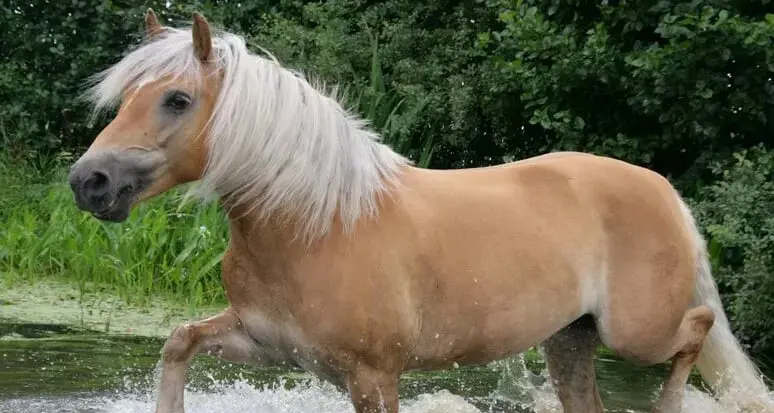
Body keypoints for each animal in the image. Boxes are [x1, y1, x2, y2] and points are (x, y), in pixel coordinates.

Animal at [67, 9, 773, 413]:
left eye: (178, 99)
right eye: (126, 95)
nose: (89, 183)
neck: (315, 224)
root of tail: (664, 191)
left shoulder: (375, 377)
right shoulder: (272, 347)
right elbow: (180, 342)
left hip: (635, 334)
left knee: (699, 326)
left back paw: (670, 405)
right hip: (571, 340)